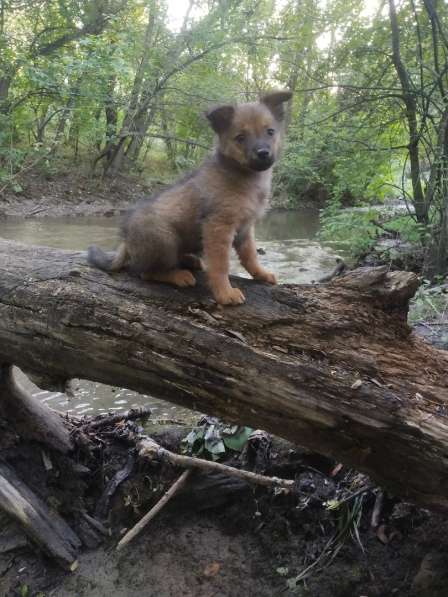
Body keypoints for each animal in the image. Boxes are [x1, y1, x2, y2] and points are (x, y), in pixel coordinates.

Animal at [86, 91, 294, 304]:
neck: (243, 176)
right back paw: (178, 275)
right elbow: (220, 266)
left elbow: (251, 256)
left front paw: (261, 274)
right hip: (164, 238)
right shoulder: (218, 227)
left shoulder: (245, 229)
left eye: (270, 131)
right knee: (146, 272)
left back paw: (190, 260)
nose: (263, 153)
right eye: (240, 138)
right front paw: (225, 293)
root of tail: (126, 242)